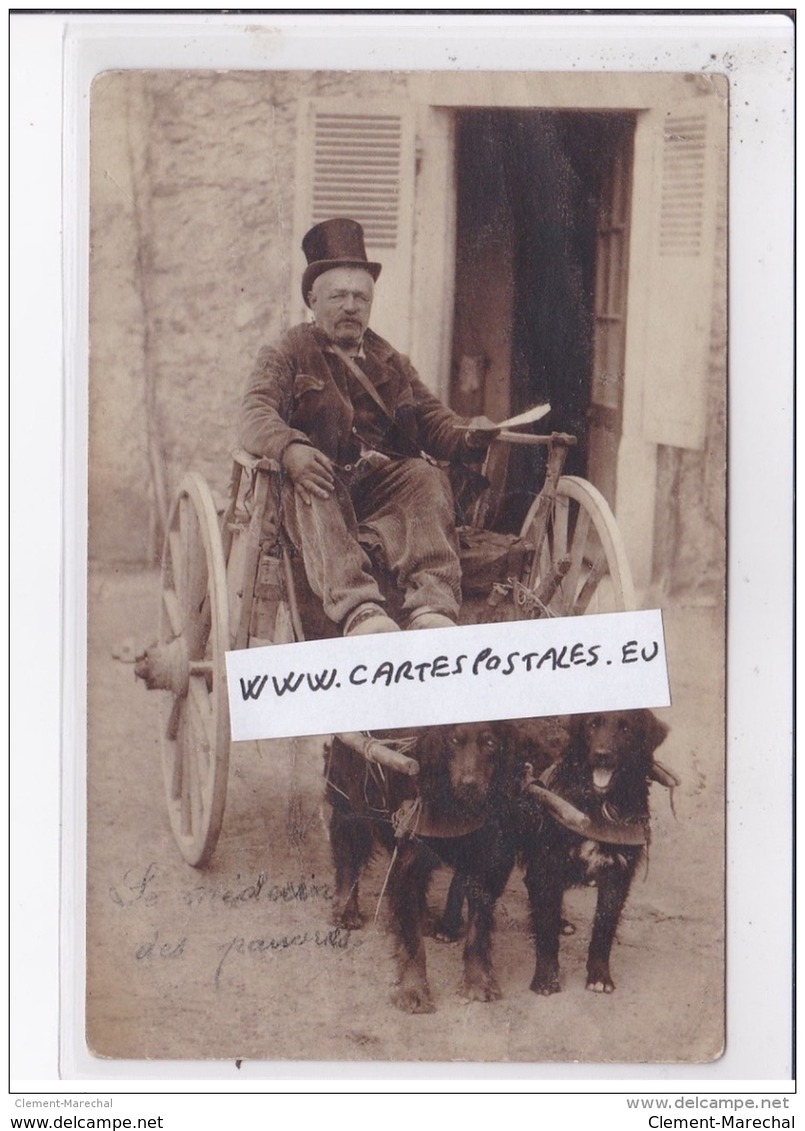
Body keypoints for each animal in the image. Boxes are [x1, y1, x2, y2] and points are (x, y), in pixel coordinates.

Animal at [323, 723, 517, 1017]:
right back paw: (346, 910)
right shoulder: (408, 857)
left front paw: (478, 980)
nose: (469, 785)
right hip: (351, 791)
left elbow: (479, 926)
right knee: (347, 848)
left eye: (491, 744)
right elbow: (412, 939)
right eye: (454, 740)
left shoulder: (488, 858)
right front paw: (413, 990)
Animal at [517, 710, 669, 995]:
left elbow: (604, 926)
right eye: (592, 724)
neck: (598, 805)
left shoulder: (618, 873)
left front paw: (599, 976)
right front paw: (546, 978)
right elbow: (545, 928)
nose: (602, 754)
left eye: (626, 728)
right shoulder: (546, 864)